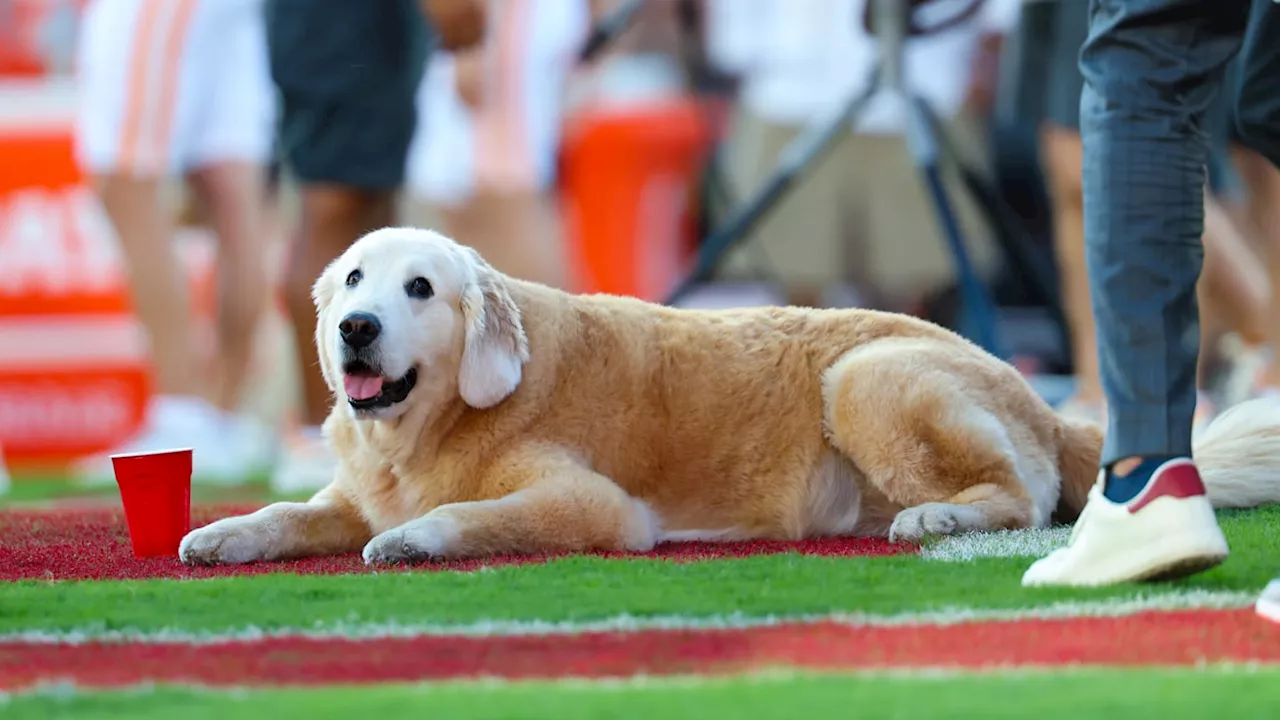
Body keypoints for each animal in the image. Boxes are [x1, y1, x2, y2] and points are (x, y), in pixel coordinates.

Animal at [177, 226, 1280, 563]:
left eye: (420, 289)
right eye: (355, 281)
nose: (355, 329)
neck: (430, 422)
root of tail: (1054, 405)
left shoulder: (594, 505)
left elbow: (469, 516)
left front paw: (414, 537)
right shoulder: (350, 490)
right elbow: (290, 513)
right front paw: (224, 532)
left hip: (865, 375)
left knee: (1023, 495)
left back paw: (935, 518)